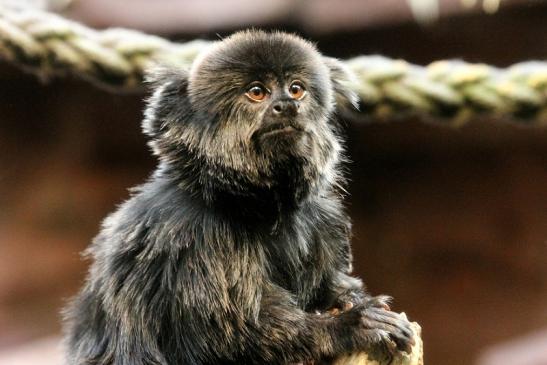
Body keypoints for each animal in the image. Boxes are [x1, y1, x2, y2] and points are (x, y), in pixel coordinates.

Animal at [63, 29, 416, 362]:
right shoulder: (193, 234)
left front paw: (352, 302)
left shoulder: (322, 221)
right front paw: (348, 327)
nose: (286, 106)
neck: (250, 204)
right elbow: (224, 336)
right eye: (257, 92)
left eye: (296, 89)